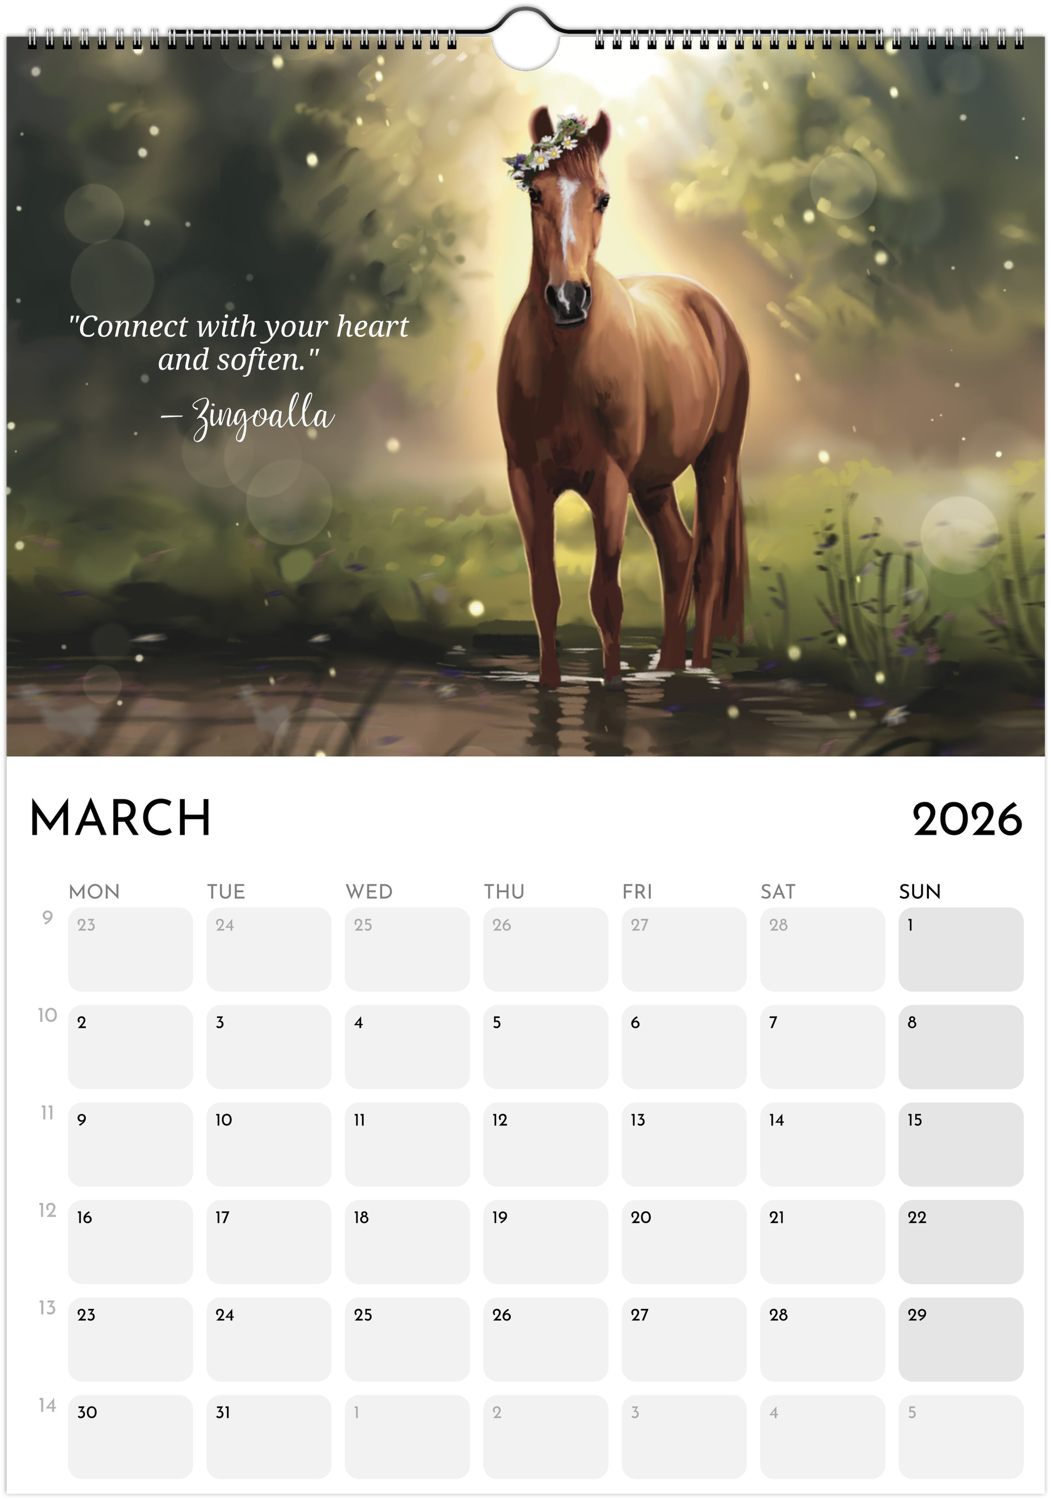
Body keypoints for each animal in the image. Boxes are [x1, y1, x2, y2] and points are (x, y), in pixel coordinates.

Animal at [497, 107, 749, 688]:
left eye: (603, 198)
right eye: (535, 193)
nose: (568, 299)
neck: (565, 366)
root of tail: (709, 306)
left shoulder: (609, 483)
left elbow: (605, 599)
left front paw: (611, 686)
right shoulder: (526, 482)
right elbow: (545, 595)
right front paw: (549, 685)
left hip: (716, 463)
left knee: (707, 560)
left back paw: (697, 669)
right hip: (652, 484)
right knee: (678, 556)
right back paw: (670, 666)